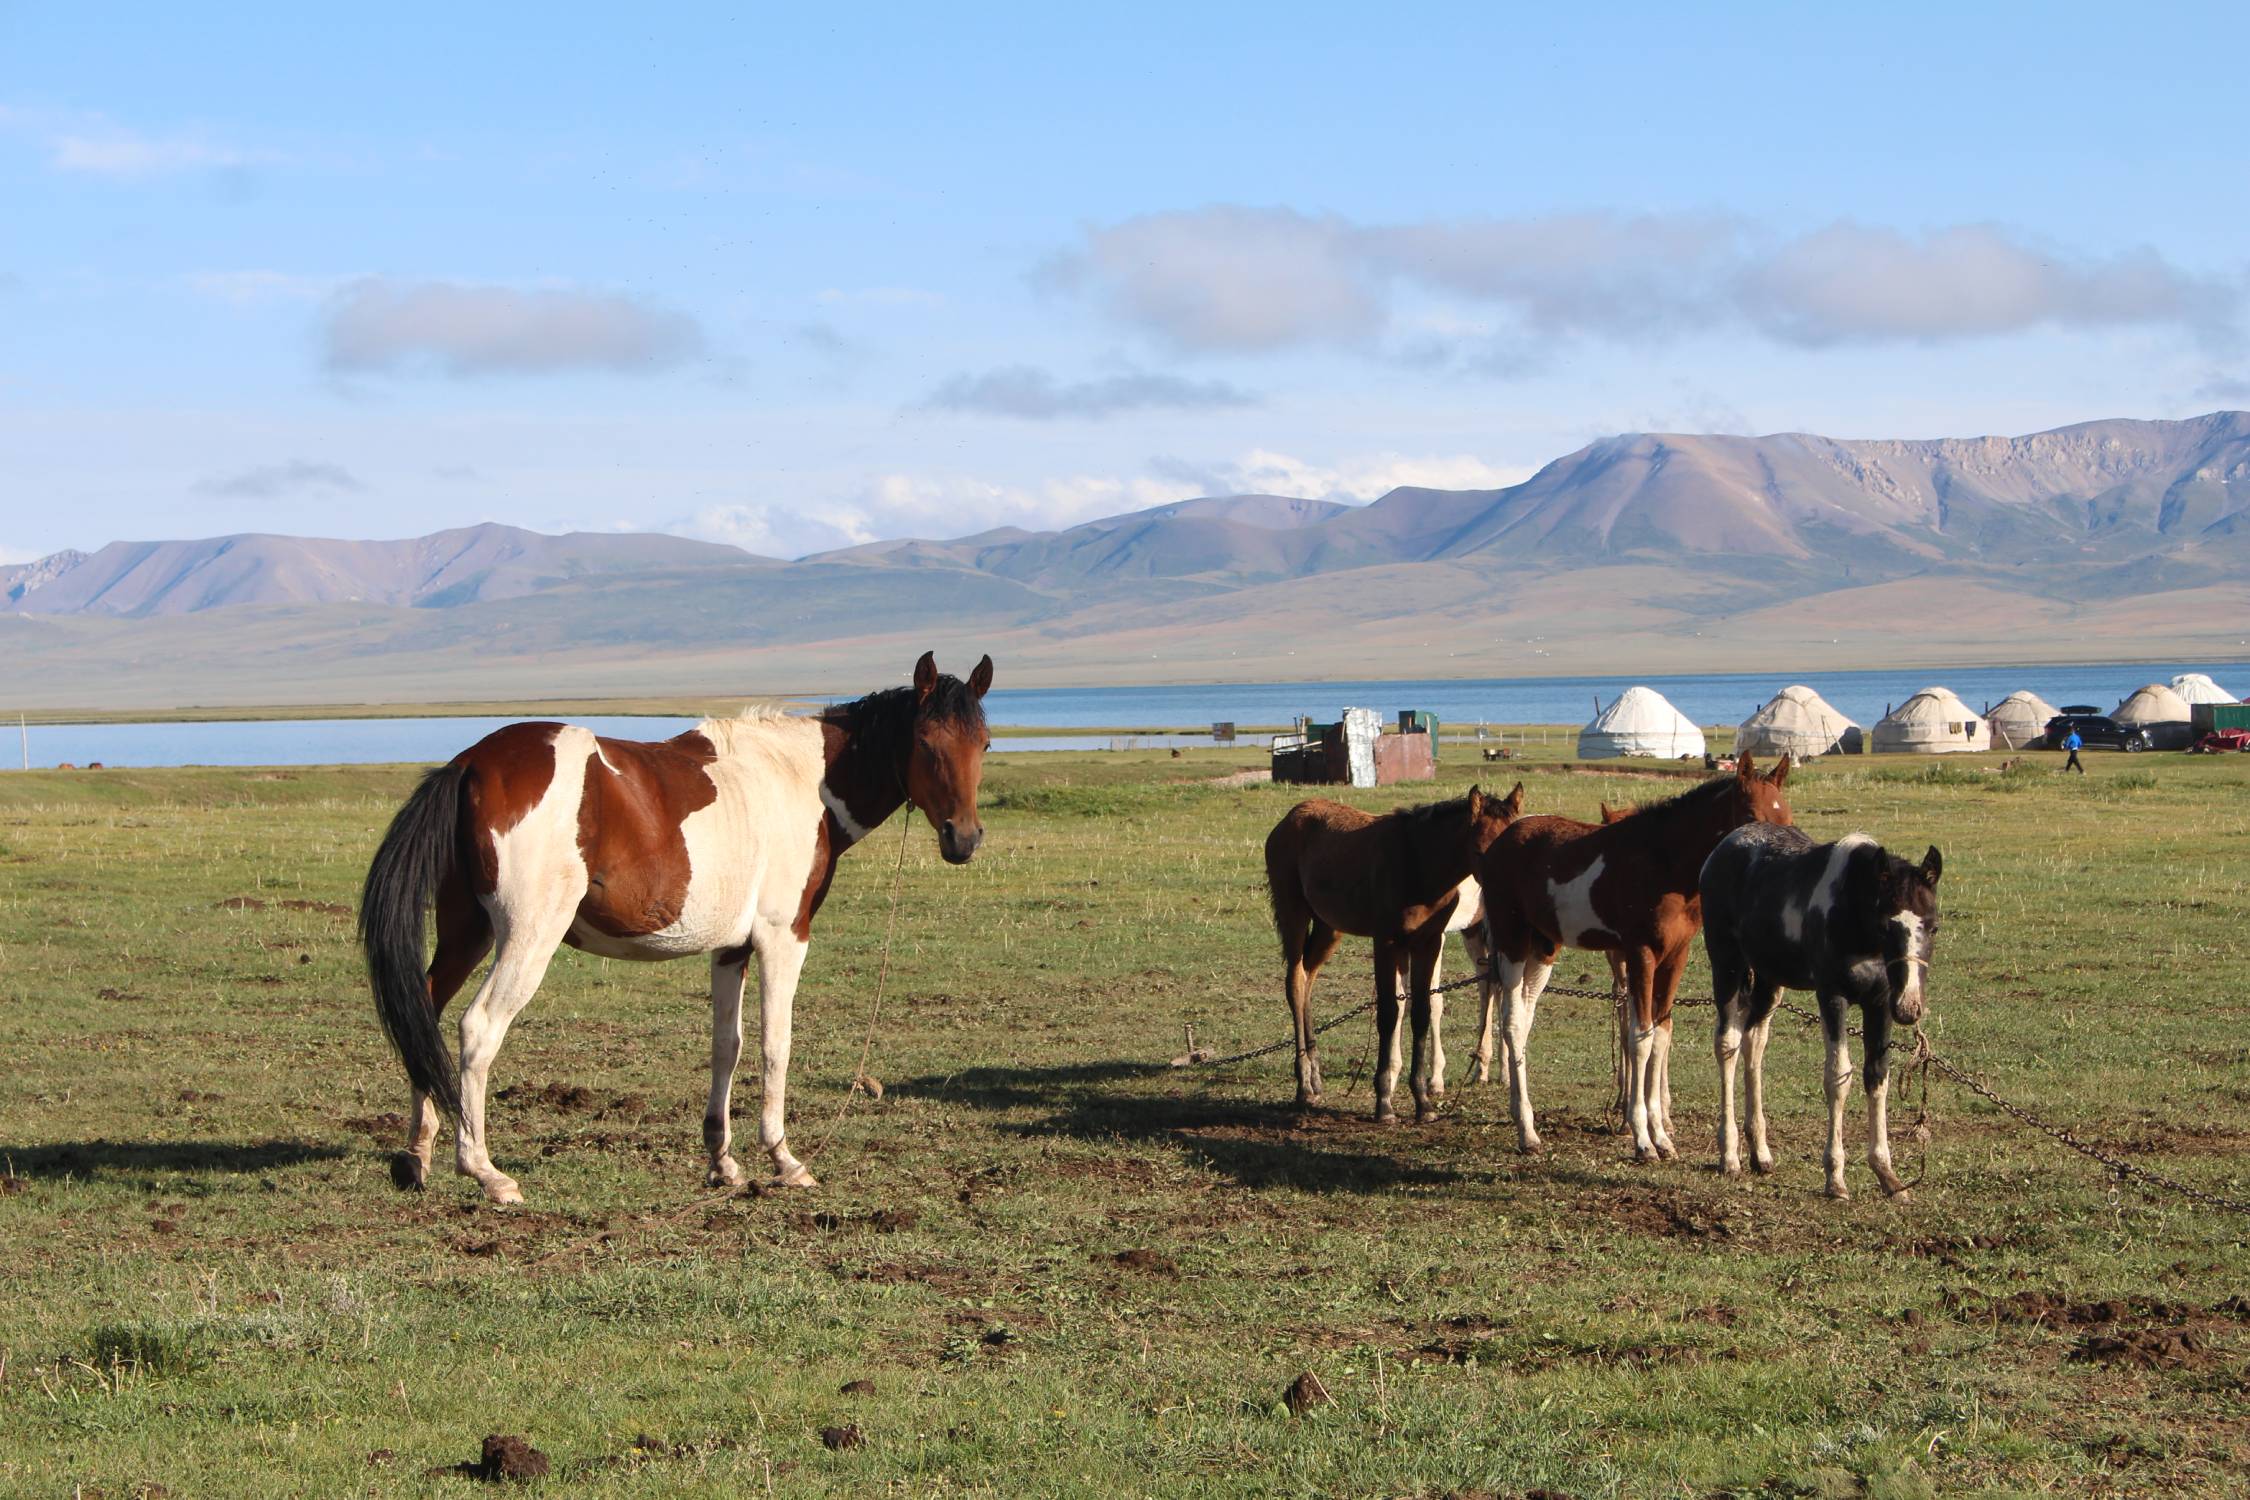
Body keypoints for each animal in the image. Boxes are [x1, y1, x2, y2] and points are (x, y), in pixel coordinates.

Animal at [359, 650, 994, 1204]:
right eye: (925, 743)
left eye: (983, 744)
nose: (963, 839)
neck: (800, 780)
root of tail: (471, 763)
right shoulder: (783, 937)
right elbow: (775, 1044)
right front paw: (784, 1160)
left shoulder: (732, 948)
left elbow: (727, 1045)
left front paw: (722, 1162)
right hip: (526, 937)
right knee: (478, 1028)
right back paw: (485, 1172)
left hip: (467, 932)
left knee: (424, 1012)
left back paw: (416, 1155)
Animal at [1264, 784, 1524, 1123]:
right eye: (1480, 851)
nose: (1506, 896)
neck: (1419, 865)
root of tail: (1289, 818)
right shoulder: (1387, 942)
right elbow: (1390, 1013)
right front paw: (1384, 1101)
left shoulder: (1428, 942)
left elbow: (1421, 1012)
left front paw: (1423, 1101)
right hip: (1293, 913)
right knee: (1295, 983)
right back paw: (1304, 1086)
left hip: (1328, 927)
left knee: (1308, 978)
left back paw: (1316, 1078)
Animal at [1474, 754, 1793, 1161]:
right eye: (1750, 814)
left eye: (1787, 816)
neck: (1665, 862)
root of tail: (1500, 844)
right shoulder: (1641, 953)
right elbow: (1640, 1037)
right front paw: (1643, 1140)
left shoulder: (1675, 957)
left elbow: (1661, 1036)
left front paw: (1662, 1137)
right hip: (1513, 941)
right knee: (1513, 1021)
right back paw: (1526, 1132)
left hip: (1544, 948)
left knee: (1525, 1019)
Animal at [1699, 826, 1942, 1198]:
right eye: (1886, 927)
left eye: (1933, 927)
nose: (1909, 1007)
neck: (1852, 915)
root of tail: (1723, 847)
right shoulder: (1832, 995)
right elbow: (1838, 1076)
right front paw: (1835, 1177)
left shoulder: (1880, 1002)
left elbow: (1878, 1075)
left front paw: (1888, 1175)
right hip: (1727, 964)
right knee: (1728, 1043)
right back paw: (1729, 1156)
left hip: (1769, 979)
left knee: (1754, 1041)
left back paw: (1760, 1153)